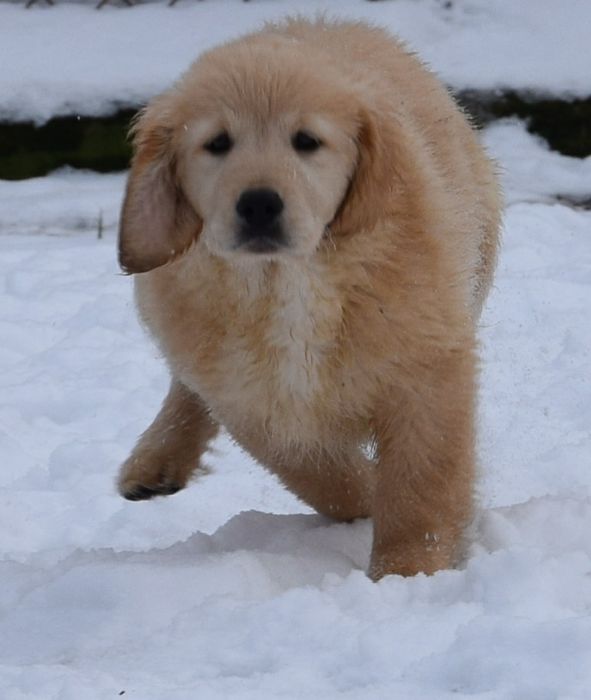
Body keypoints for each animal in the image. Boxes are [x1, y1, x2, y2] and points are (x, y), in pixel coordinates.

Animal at [118, 20, 502, 580]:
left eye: (307, 142)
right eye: (217, 143)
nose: (259, 203)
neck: (290, 282)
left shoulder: (428, 369)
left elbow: (422, 481)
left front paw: (408, 571)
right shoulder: (257, 400)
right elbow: (322, 474)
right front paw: (366, 500)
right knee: (187, 386)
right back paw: (155, 458)